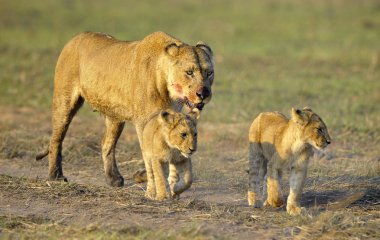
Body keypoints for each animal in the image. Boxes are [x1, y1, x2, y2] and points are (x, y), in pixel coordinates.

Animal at [37, 31, 215, 187]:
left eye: (209, 73)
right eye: (189, 72)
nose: (203, 93)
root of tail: (75, 38)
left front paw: (144, 176)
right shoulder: (144, 121)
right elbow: (151, 152)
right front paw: (146, 176)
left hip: (115, 116)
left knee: (106, 143)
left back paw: (113, 179)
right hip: (64, 102)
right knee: (56, 139)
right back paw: (55, 176)